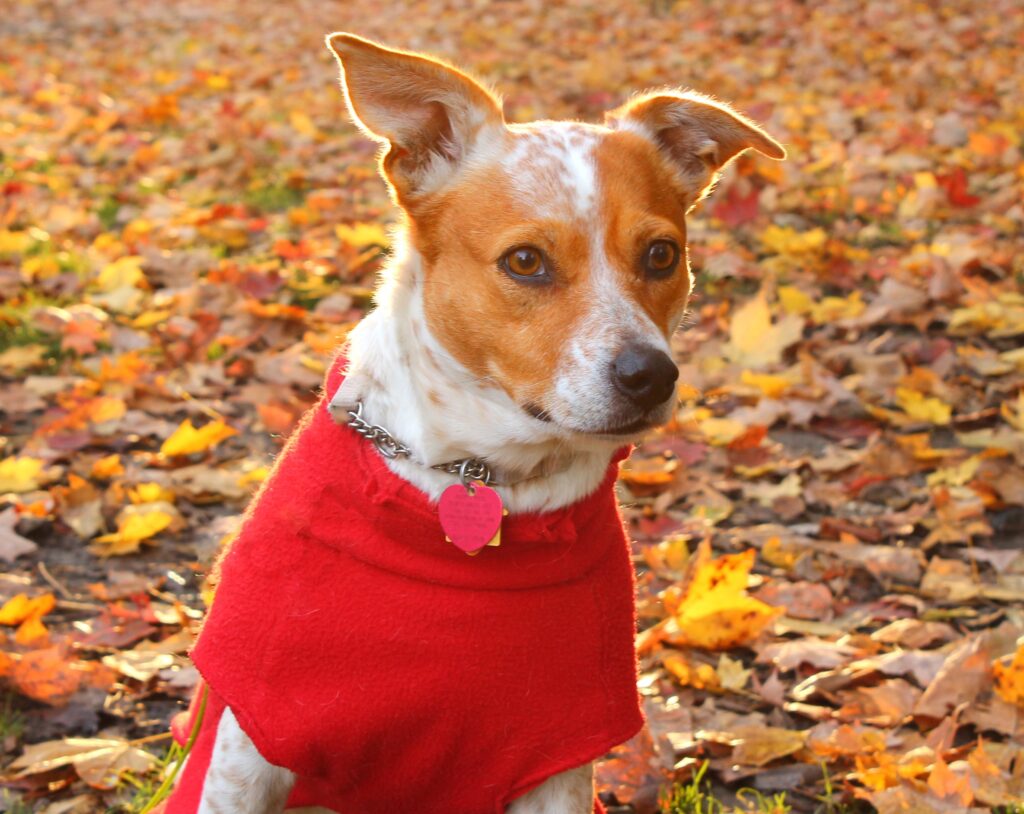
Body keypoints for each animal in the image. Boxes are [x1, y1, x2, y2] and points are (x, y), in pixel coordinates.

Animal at [157, 31, 782, 814]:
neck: (480, 475)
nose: (650, 375)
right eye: (526, 261)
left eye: (662, 254)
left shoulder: (557, 762)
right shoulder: (252, 744)